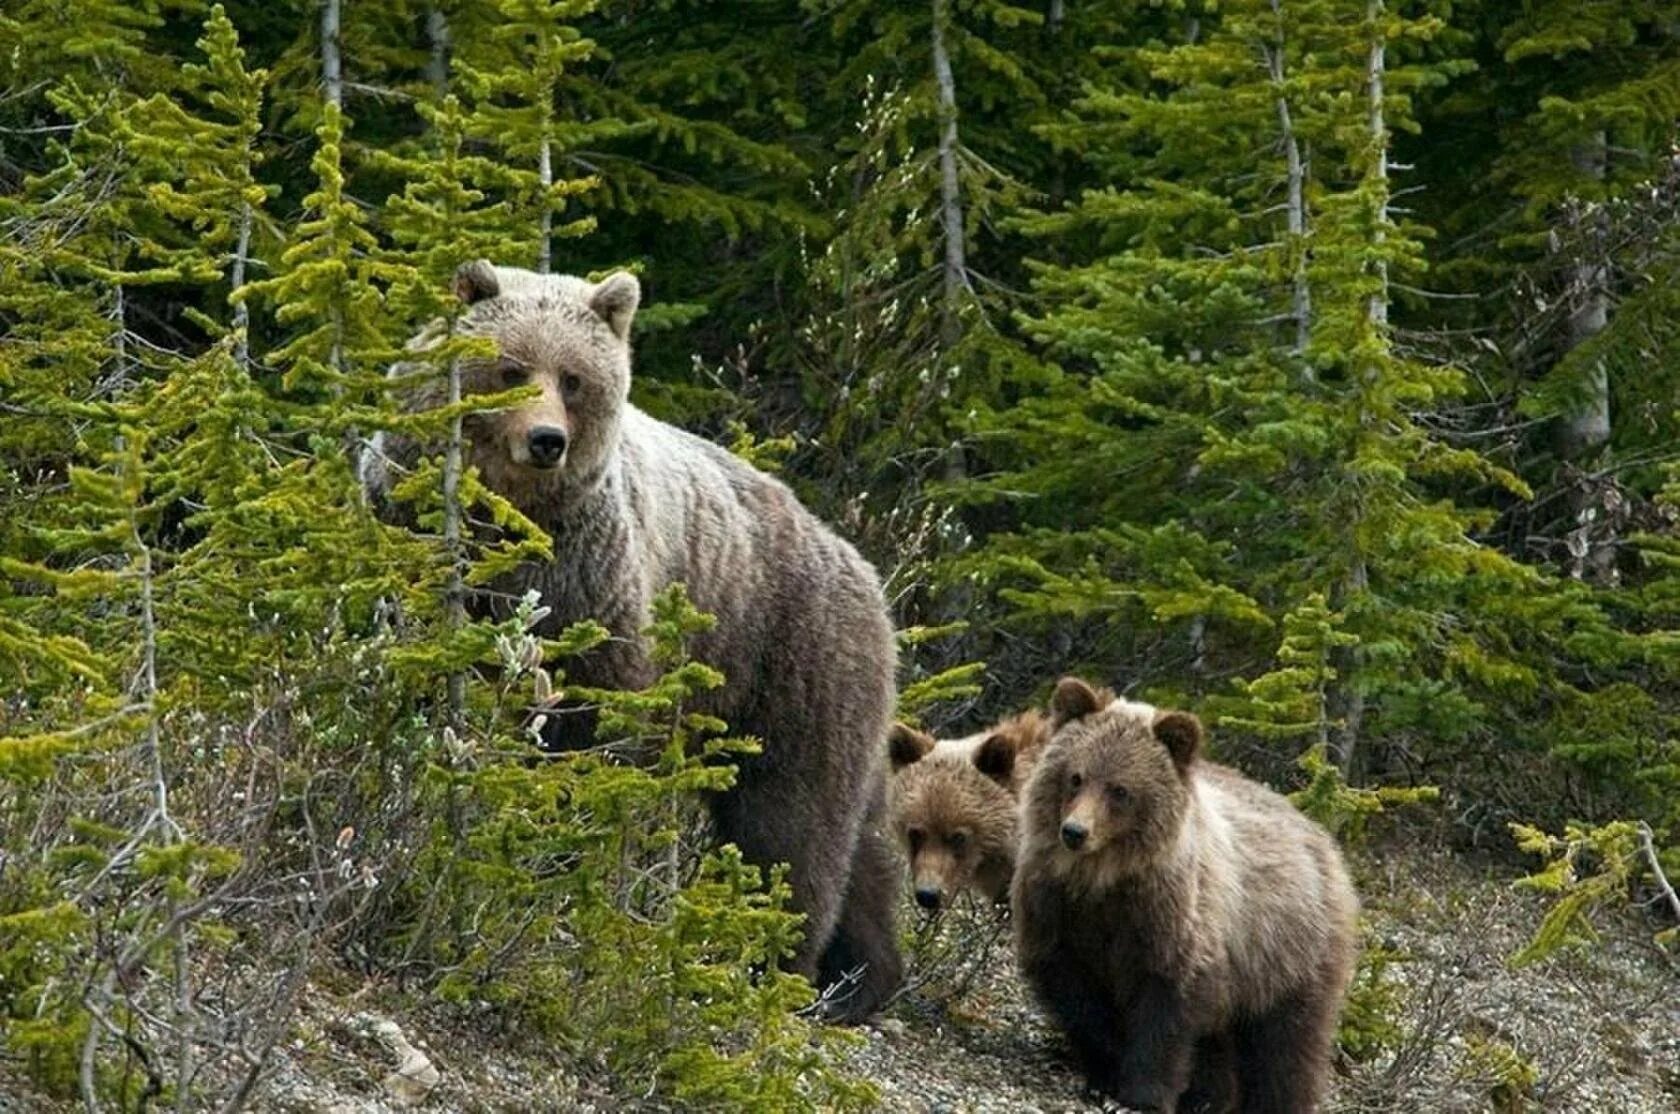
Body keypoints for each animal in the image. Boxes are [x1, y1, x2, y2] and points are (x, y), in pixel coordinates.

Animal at [361, 262, 900, 1021]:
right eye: (512, 368)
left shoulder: (594, 586)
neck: (506, 523)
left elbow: (595, 724)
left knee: (793, 823)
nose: (546, 440)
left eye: (574, 377)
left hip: (795, 661)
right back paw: (858, 977)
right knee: (864, 845)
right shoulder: (408, 532)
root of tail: (869, 575)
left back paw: (776, 961)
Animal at [1007, 675, 1350, 1108]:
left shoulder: (1170, 918)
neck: (1102, 879)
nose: (1074, 832)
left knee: (1286, 1043)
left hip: (1287, 953)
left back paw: (1274, 1099)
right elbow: (1078, 997)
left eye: (1120, 790)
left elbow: (1166, 1009)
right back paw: (1209, 1096)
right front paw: (1103, 1075)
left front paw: (1143, 1093)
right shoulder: (1057, 909)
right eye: (1076, 777)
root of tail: (1325, 842)